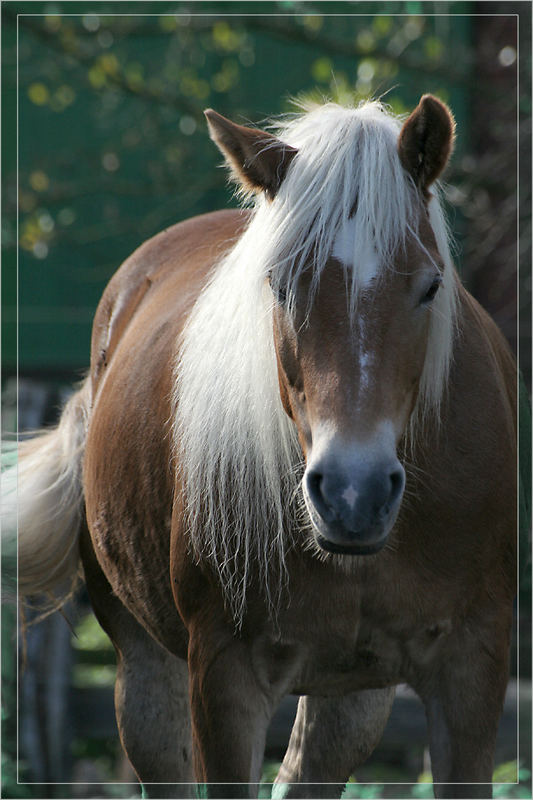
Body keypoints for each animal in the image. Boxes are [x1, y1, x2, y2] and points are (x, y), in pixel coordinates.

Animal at [9, 95, 516, 800]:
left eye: (430, 287)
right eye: (279, 286)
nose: (353, 493)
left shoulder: (472, 667)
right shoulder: (225, 680)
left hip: (352, 697)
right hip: (143, 665)